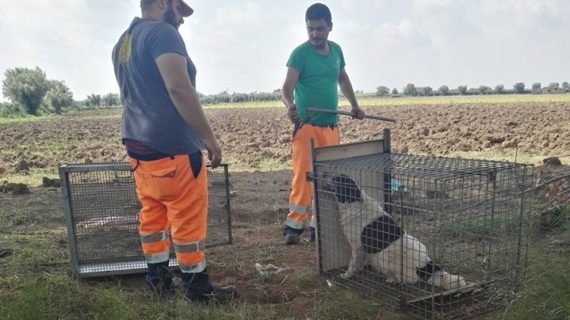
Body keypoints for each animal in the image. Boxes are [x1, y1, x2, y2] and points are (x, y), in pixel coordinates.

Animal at [326, 175, 464, 290]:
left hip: (385, 257)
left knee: (405, 280)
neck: (355, 202)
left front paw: (346, 275)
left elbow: (352, 264)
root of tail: (425, 265)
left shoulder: (357, 247)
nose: (324, 174)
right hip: (418, 243)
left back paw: (392, 280)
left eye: (336, 180)